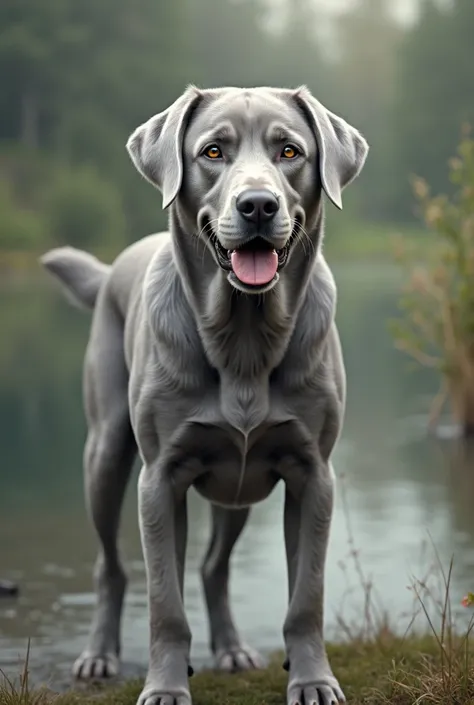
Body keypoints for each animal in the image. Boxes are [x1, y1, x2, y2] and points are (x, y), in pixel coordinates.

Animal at [41, 84, 366, 704]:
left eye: (290, 151)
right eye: (213, 152)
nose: (258, 205)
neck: (244, 338)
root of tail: (112, 267)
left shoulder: (315, 474)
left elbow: (305, 598)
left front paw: (313, 680)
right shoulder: (160, 478)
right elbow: (165, 604)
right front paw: (165, 688)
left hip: (237, 486)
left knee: (215, 567)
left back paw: (234, 649)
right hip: (106, 451)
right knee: (110, 567)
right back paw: (98, 656)